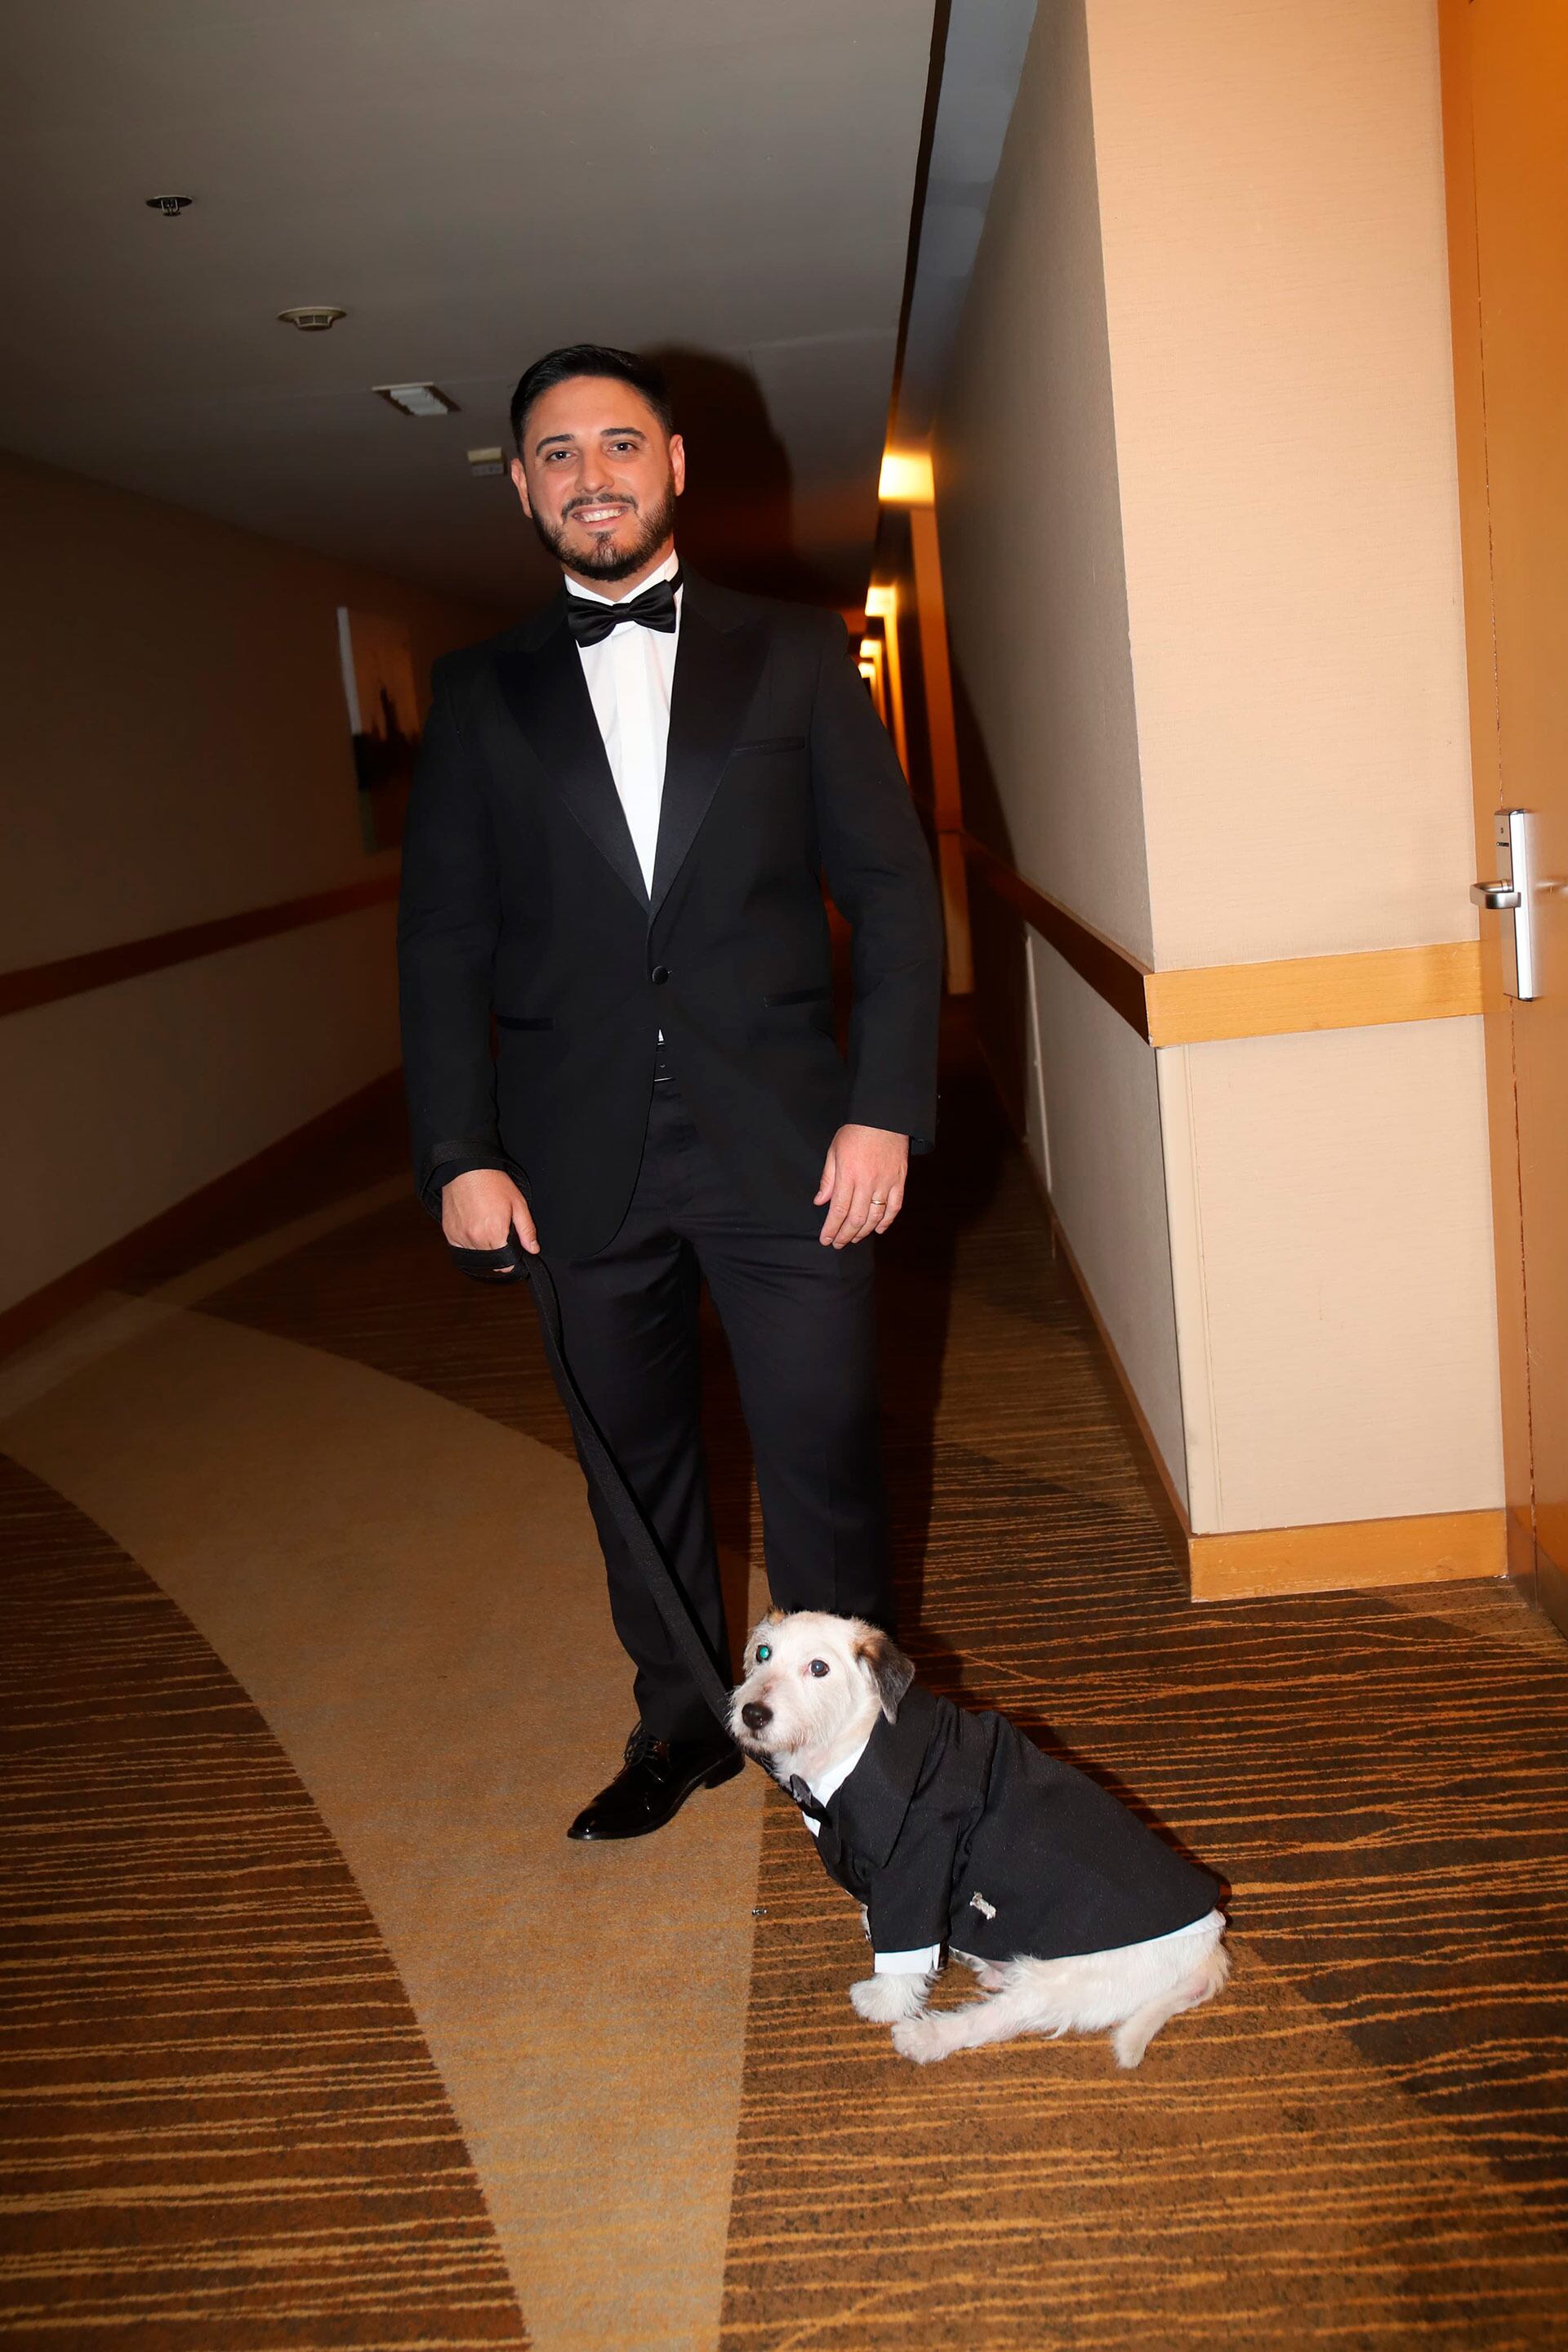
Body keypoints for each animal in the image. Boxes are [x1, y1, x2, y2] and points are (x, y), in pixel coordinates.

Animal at [728, 1608, 1232, 2069]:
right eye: (763, 1653)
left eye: (819, 1668)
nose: (753, 1714)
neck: (854, 1744)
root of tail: (1207, 1946)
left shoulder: (916, 1868)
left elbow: (903, 1951)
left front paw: (885, 2001)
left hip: (1060, 1977)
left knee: (1002, 2018)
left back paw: (927, 2036)